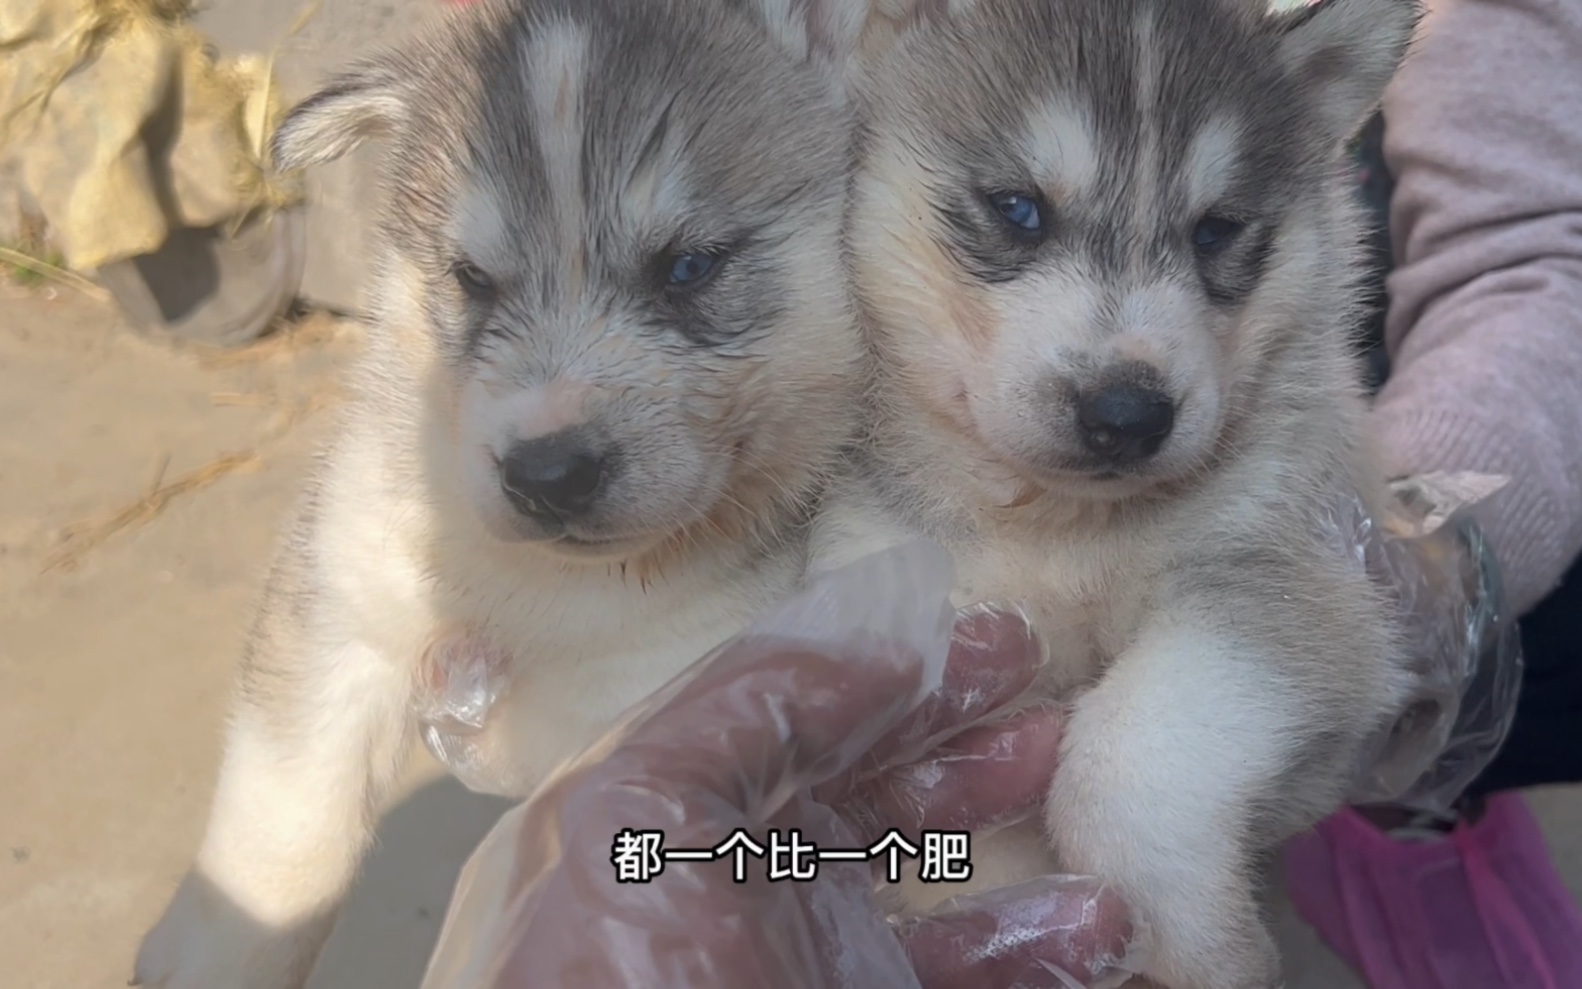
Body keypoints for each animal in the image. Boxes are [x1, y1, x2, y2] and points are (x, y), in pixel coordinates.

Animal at [131, 0, 879, 981]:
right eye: (471, 280)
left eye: (689, 266)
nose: (546, 473)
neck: (541, 592)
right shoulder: (339, 591)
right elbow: (283, 812)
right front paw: (218, 947)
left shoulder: (661, 688)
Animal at [816, 0, 1423, 981]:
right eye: (1018, 209)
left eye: (1217, 229)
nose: (1128, 413)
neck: (1058, 528)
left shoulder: (1295, 580)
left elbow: (1131, 757)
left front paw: (1197, 943)